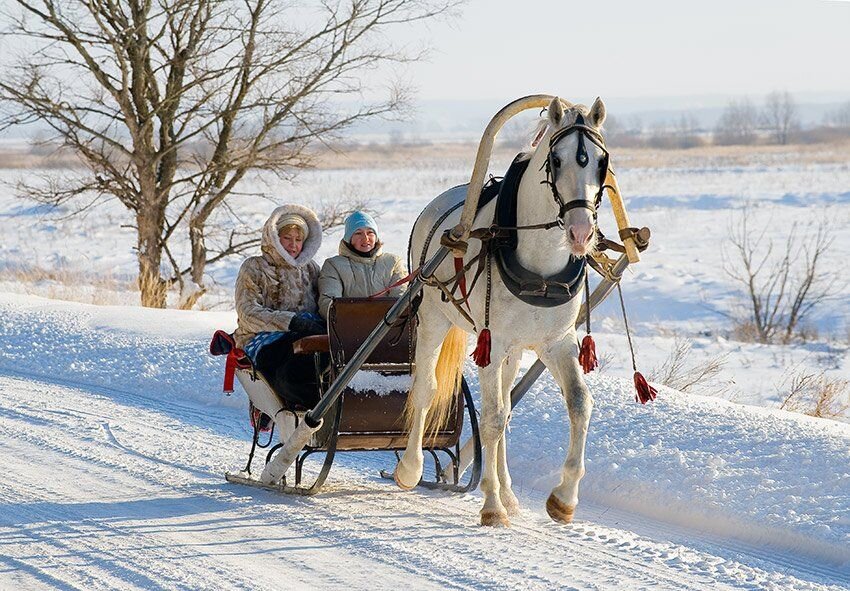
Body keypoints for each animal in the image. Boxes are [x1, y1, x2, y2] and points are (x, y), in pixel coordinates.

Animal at [394, 97, 608, 528]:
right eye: (556, 159)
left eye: (601, 161)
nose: (581, 232)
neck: (541, 265)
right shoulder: (491, 344)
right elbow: (490, 419)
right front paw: (491, 505)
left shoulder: (556, 341)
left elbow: (579, 404)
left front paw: (563, 499)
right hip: (434, 317)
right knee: (426, 389)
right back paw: (411, 468)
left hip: (514, 349)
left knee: (508, 406)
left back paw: (510, 494)